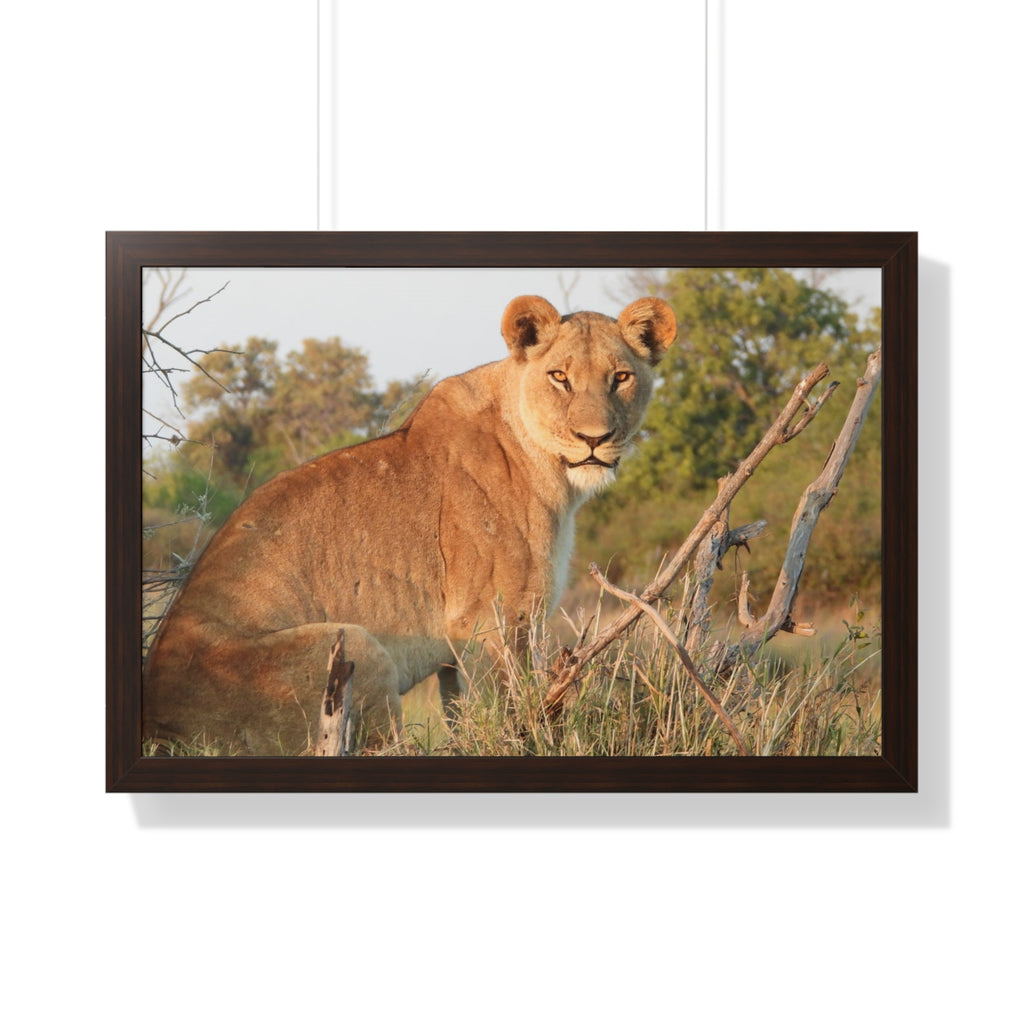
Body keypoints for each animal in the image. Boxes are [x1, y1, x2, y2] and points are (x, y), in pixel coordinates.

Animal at [143, 294, 677, 754]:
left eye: (621, 377)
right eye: (559, 377)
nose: (594, 439)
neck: (551, 471)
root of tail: (159, 725)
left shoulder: (461, 645)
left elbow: (465, 713)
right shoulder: (491, 622)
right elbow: (509, 712)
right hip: (356, 646)